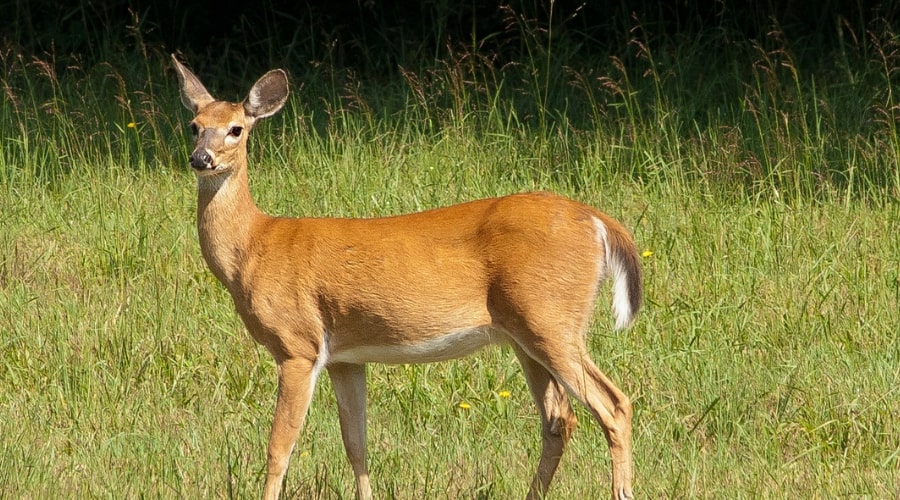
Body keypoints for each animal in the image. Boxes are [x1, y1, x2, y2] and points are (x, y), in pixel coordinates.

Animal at [172, 54, 644, 500]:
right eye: (195, 126)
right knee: (559, 419)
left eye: (235, 129)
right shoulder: (345, 356)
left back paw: (622, 489)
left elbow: (279, 447)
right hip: (525, 333)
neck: (255, 247)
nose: (201, 158)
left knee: (613, 404)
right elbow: (356, 444)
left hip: (550, 317)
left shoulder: (297, 345)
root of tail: (598, 221)